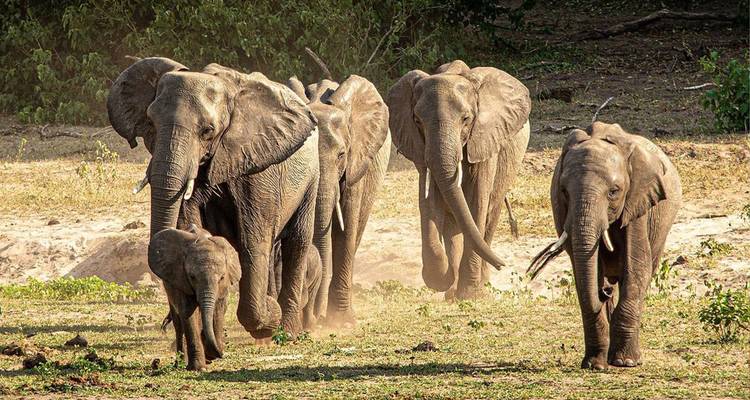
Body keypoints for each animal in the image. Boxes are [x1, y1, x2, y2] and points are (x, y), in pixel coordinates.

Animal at [107, 57, 320, 339]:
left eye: (208, 130)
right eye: (151, 122)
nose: (168, 320)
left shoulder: (260, 167)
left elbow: (254, 241)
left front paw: (269, 315)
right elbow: (187, 222)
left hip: (311, 179)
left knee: (297, 241)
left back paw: (287, 332)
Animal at [148, 225, 240, 371]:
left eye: (221, 278)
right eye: (192, 277)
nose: (221, 354)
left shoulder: (223, 287)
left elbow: (218, 311)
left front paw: (210, 356)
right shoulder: (181, 279)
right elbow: (188, 312)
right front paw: (199, 368)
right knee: (178, 324)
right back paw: (179, 363)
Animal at [285, 74, 390, 325]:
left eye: (342, 155)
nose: (317, 316)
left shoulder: (357, 159)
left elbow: (347, 227)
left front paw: (341, 320)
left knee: (356, 230)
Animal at [387, 60, 531, 300]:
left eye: (466, 119)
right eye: (417, 121)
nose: (503, 265)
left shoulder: (484, 141)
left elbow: (476, 205)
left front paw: (471, 295)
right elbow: (434, 205)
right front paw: (444, 280)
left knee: (489, 216)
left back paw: (481, 284)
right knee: (453, 223)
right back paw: (452, 292)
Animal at [527, 122, 682, 370]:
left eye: (613, 192)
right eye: (564, 191)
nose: (605, 291)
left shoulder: (638, 203)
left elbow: (636, 266)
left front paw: (625, 362)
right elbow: (585, 272)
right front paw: (595, 365)